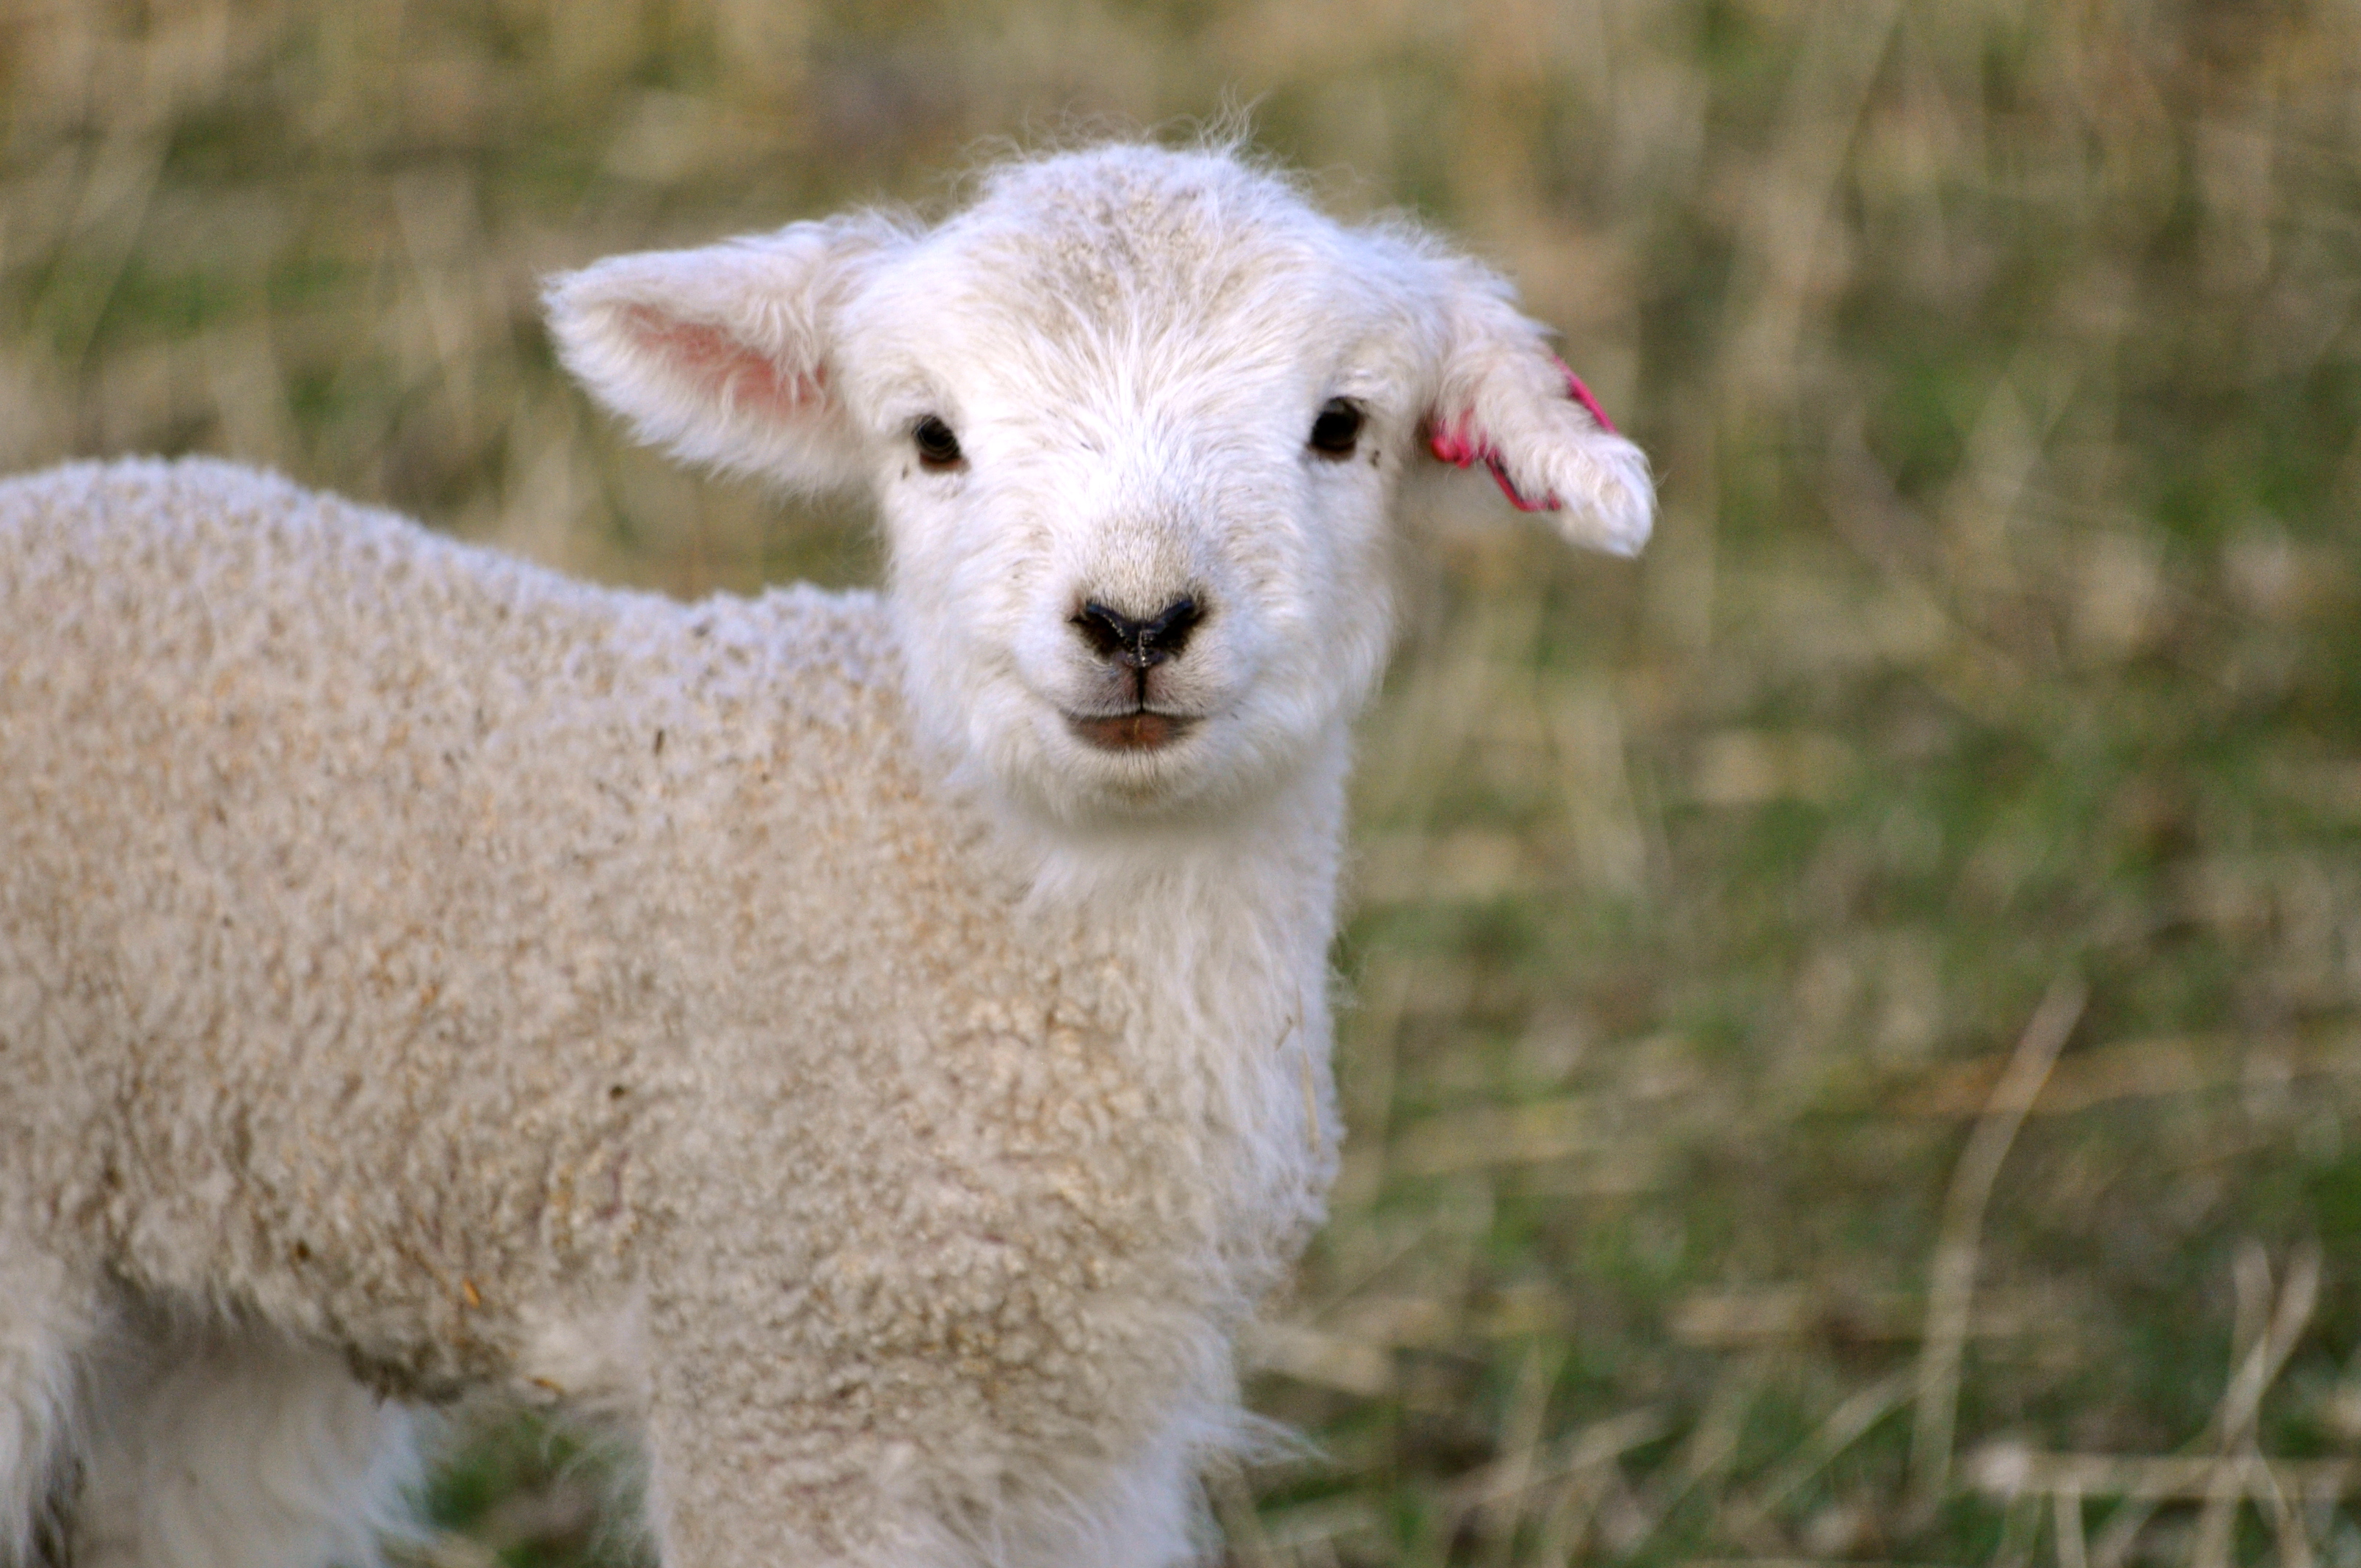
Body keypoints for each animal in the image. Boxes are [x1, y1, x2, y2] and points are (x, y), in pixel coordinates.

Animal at [0, 137, 1653, 1568]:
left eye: (1341, 426)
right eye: (931, 441)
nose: (1135, 621)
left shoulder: (1086, 1433)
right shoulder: (783, 1377)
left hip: (221, 1294)